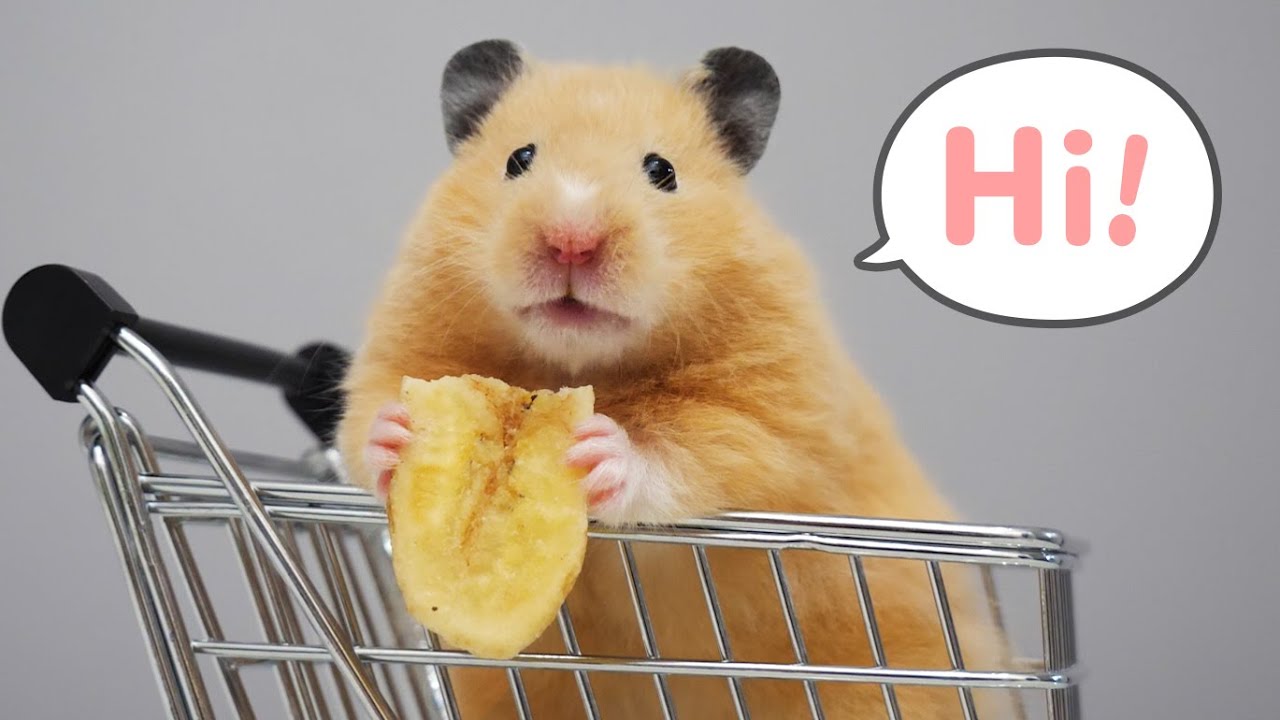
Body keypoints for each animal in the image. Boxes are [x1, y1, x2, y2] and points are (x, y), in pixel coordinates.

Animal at [337, 40, 1017, 720]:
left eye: (662, 171)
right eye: (517, 160)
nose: (571, 242)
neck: (575, 362)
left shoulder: (768, 416)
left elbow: (689, 453)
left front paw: (599, 452)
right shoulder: (400, 344)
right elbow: (364, 417)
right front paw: (398, 434)